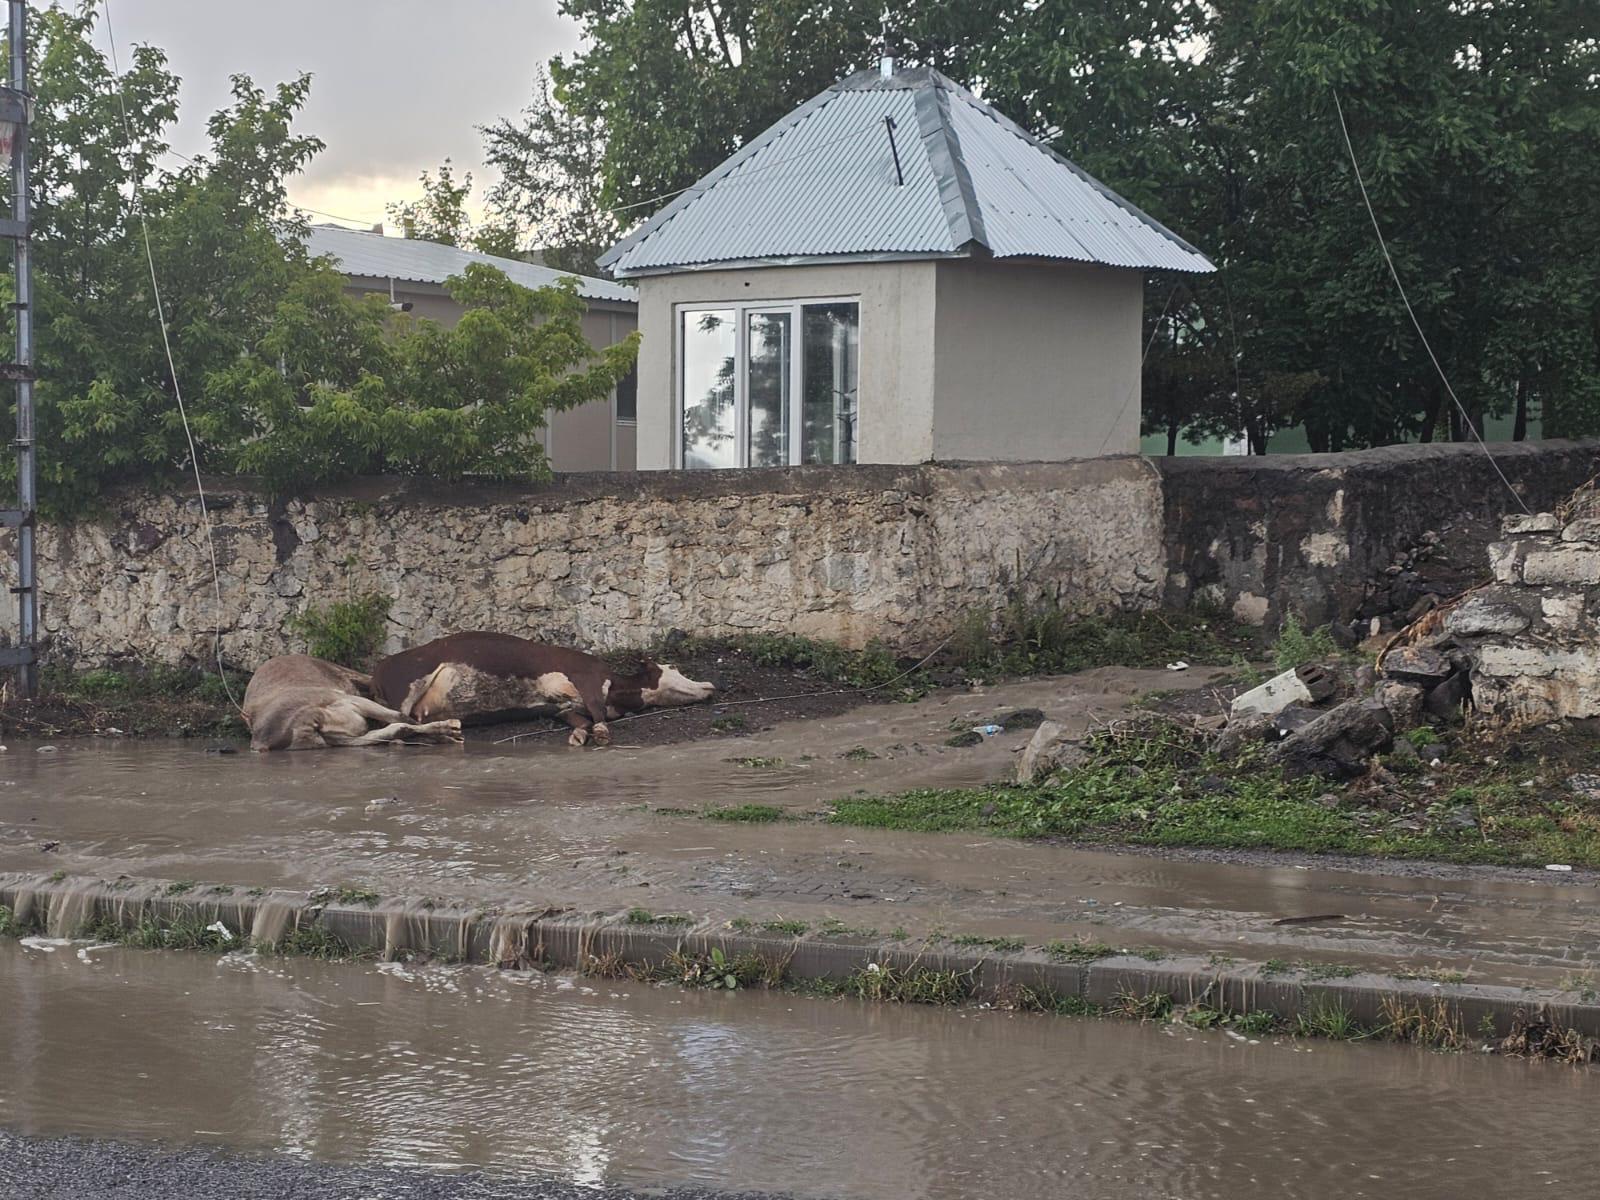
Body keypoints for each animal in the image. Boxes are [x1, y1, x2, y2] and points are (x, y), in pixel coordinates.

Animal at [371, 633, 716, 748]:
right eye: (673, 668)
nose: (711, 684)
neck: (616, 690)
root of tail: (381, 665)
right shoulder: (587, 676)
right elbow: (597, 713)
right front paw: (600, 732)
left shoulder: (562, 707)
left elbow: (581, 718)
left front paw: (579, 735)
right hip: (407, 689)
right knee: (398, 724)